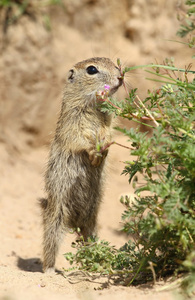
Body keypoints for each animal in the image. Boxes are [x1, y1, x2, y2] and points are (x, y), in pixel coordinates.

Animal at [40, 57, 123, 274]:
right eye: (92, 70)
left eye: (113, 62)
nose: (121, 77)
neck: (92, 105)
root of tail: (75, 222)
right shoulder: (72, 123)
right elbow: (80, 140)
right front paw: (94, 152)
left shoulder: (108, 121)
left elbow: (107, 133)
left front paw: (103, 150)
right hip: (56, 218)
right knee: (50, 246)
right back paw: (49, 271)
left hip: (92, 221)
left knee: (88, 242)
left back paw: (97, 264)